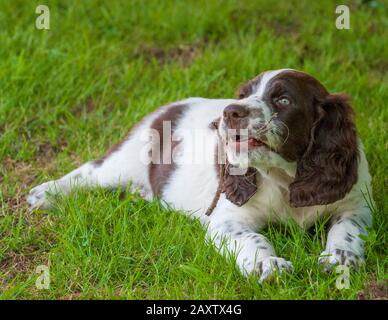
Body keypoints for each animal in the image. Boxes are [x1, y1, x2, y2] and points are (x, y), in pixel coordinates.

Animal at [27, 69, 372, 282]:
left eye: (283, 100)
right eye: (244, 94)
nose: (231, 112)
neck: (284, 176)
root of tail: (168, 107)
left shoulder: (357, 203)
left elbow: (346, 227)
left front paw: (340, 259)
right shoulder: (228, 220)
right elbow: (254, 238)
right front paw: (268, 265)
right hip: (127, 158)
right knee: (90, 170)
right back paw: (44, 194)